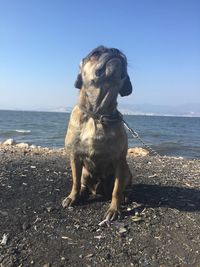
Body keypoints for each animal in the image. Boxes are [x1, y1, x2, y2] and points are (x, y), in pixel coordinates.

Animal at [62, 46, 133, 222]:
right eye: (95, 53)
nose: (115, 50)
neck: (97, 114)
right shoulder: (74, 156)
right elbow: (74, 181)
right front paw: (72, 197)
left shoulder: (119, 160)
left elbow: (117, 190)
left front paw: (114, 209)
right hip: (86, 173)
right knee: (82, 183)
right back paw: (82, 193)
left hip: (127, 172)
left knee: (122, 188)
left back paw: (126, 196)